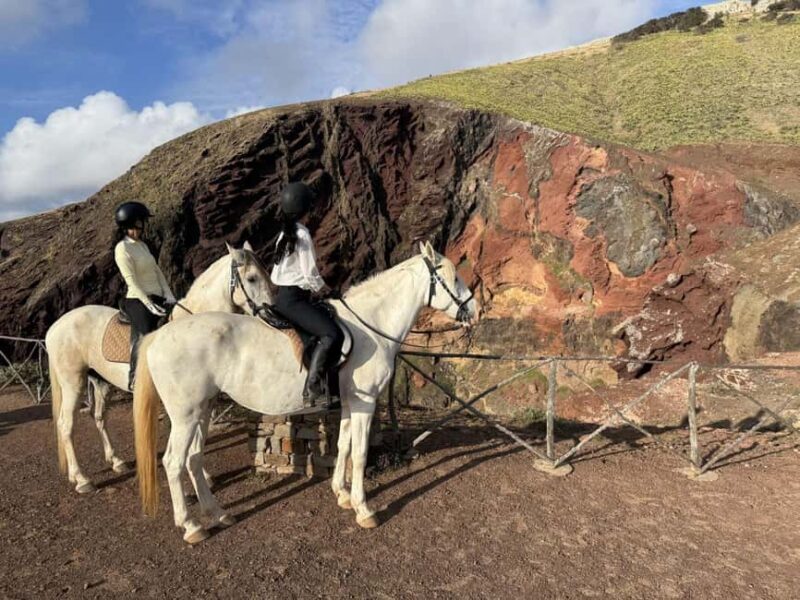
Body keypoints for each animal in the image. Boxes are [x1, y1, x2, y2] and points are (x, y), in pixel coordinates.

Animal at [46, 242, 273, 494]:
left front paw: (202, 478)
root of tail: (55, 326)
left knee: (99, 418)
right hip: (72, 383)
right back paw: (81, 479)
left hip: (100, 383)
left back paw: (116, 462)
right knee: (66, 425)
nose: (271, 310)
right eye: (252, 278)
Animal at [133, 241, 478, 543]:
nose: (474, 310)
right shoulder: (365, 403)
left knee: (193, 458)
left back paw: (217, 514)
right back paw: (191, 526)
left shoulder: (350, 403)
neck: (371, 325)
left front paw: (342, 494)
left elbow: (344, 445)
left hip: (203, 409)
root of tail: (160, 335)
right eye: (454, 277)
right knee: (174, 462)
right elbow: (360, 452)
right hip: (186, 415)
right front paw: (364, 508)